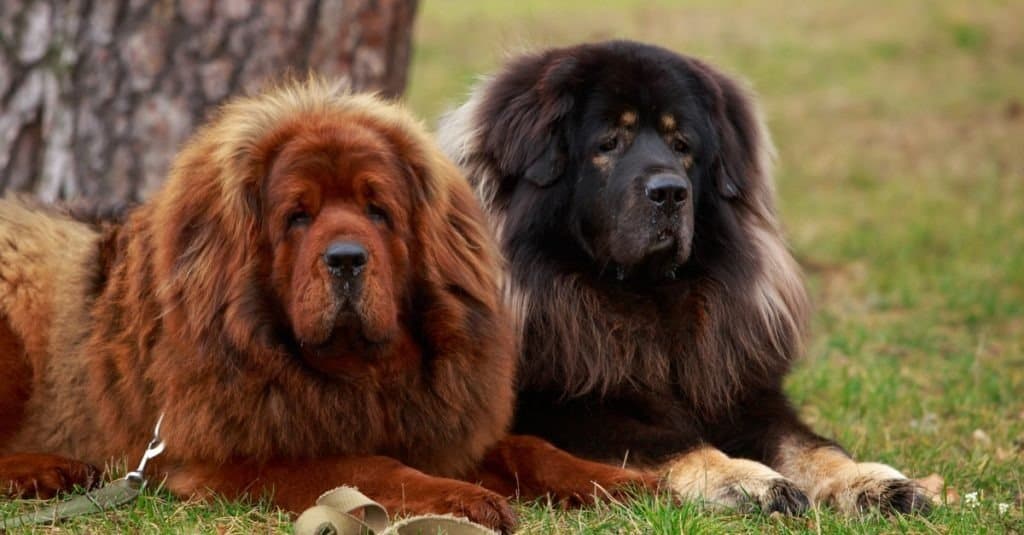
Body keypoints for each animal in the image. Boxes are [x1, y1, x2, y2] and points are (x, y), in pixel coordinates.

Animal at [0, 78, 651, 528]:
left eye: (377, 211)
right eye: (298, 216)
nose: (345, 259)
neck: (357, 374)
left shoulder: (437, 426)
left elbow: (533, 448)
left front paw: (623, 481)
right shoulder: (230, 457)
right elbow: (363, 465)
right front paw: (464, 500)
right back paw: (48, 469)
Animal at [436, 41, 933, 512]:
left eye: (682, 147)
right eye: (609, 143)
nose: (670, 191)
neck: (645, 298)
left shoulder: (737, 390)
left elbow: (810, 446)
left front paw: (873, 482)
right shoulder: (566, 410)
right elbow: (678, 444)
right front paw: (751, 481)